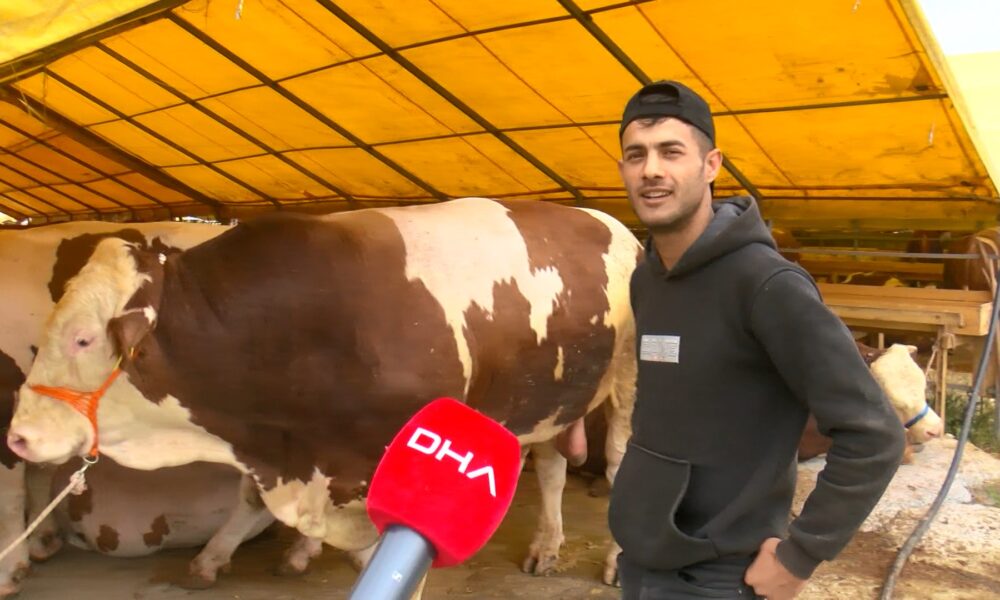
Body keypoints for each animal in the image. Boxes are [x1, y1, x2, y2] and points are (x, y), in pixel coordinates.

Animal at [6, 197, 642, 595]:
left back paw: (614, 561)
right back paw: (546, 547)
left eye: (83, 337)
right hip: (552, 397)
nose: (17, 435)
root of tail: (608, 220)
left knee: (619, 467)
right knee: (554, 469)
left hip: (630, 388)